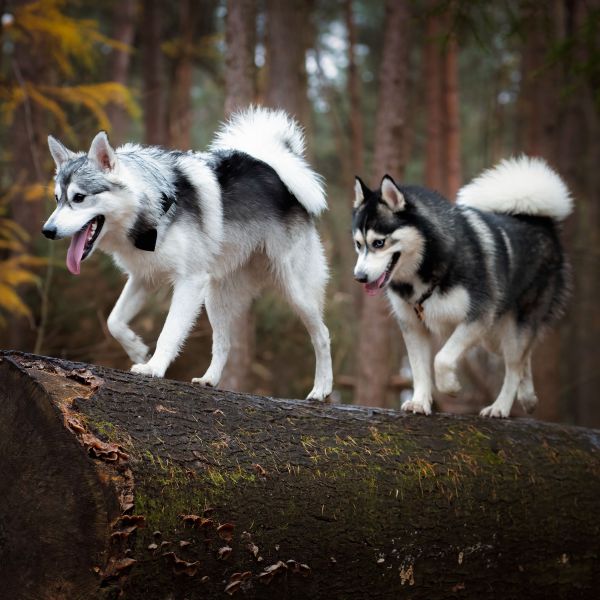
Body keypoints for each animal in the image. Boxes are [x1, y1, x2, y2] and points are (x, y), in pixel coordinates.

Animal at [43, 109, 332, 398]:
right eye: (57, 199)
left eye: (79, 197)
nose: (47, 231)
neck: (150, 206)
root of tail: (273, 168)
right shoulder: (144, 278)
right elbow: (114, 320)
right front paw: (137, 349)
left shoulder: (189, 282)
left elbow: (169, 332)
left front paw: (154, 367)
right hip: (215, 299)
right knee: (223, 342)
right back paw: (210, 379)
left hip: (297, 292)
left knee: (322, 335)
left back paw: (322, 389)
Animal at [352, 158, 572, 418]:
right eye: (358, 244)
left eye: (379, 243)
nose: (359, 277)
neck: (428, 262)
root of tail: (539, 220)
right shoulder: (413, 325)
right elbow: (419, 369)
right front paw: (419, 402)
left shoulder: (477, 317)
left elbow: (441, 359)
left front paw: (451, 387)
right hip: (494, 337)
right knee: (522, 358)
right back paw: (528, 397)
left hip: (513, 325)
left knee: (514, 366)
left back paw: (500, 407)